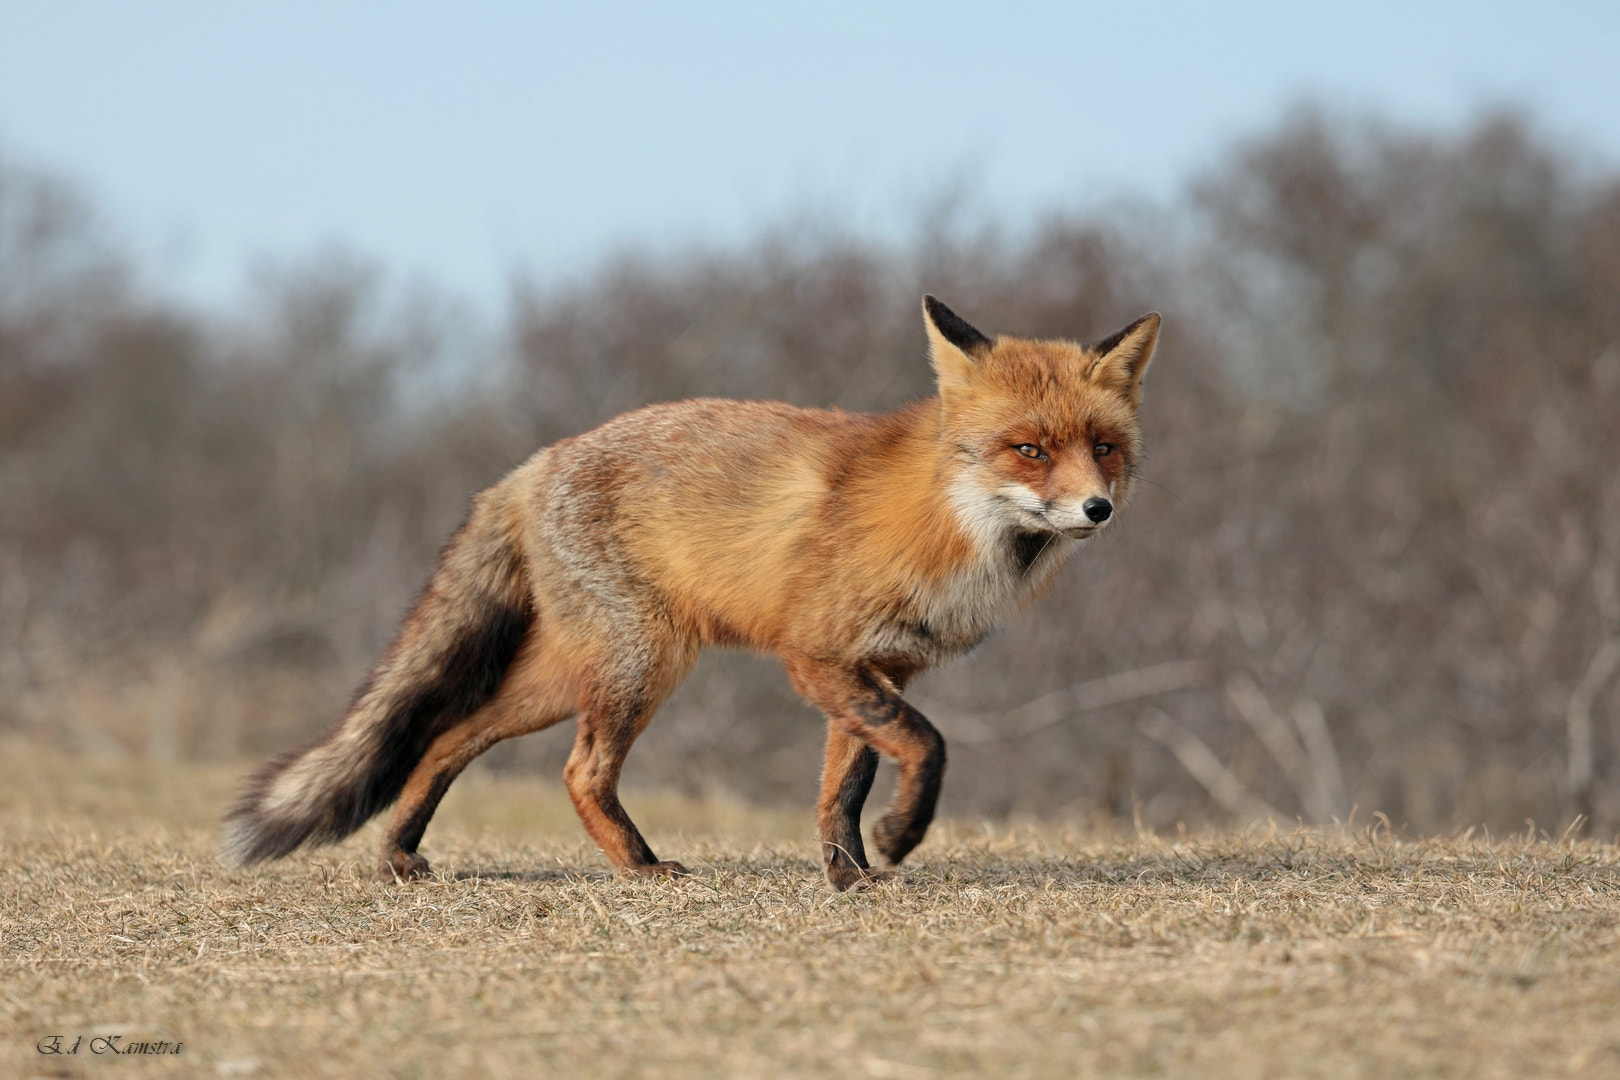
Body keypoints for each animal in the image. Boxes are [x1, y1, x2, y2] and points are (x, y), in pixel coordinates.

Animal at [223, 296, 1160, 891]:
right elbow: (924, 746)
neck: (949, 526)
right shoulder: (818, 657)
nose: (1099, 509)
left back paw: (398, 855)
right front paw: (901, 838)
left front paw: (849, 876)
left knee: (448, 736)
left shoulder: (874, 671)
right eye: (1029, 450)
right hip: (640, 663)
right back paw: (638, 866)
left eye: (1104, 448)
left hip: (570, 676)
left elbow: (842, 788)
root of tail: (534, 464)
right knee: (576, 769)